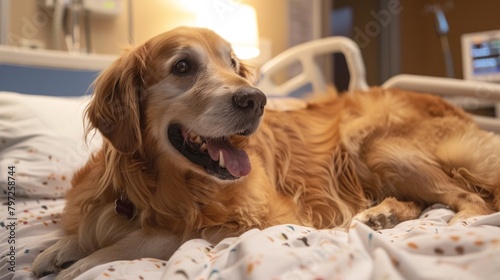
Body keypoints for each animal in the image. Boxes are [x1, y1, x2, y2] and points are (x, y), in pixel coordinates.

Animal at [31, 25, 500, 278]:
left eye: (234, 64)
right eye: (182, 66)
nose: (255, 99)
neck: (163, 183)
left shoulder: (263, 220)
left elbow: (157, 237)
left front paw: (86, 261)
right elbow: (89, 228)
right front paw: (61, 249)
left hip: (372, 144)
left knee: (471, 197)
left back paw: (455, 227)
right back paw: (381, 215)